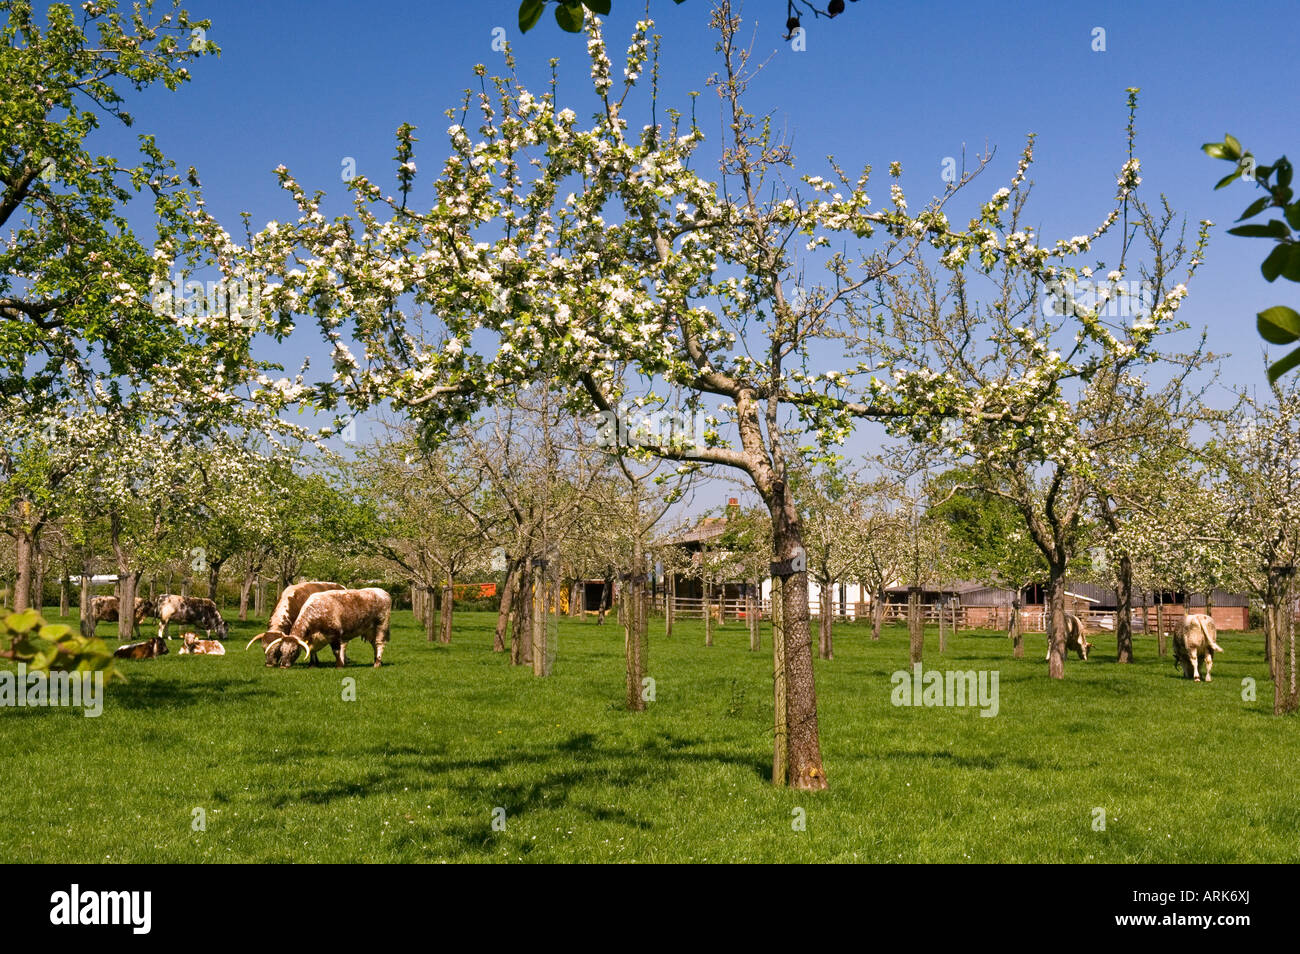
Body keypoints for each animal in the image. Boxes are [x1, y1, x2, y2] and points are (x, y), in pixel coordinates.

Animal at [257, 587, 391, 669]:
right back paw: (375, 660)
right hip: (370, 630)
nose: (283, 665)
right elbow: (311, 650)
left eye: (294, 651)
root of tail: (383, 592)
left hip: (381, 626)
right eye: (281, 650)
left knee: (379, 644)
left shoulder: (335, 635)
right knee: (374, 644)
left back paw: (377, 663)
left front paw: (339, 665)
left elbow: (336, 651)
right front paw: (312, 665)